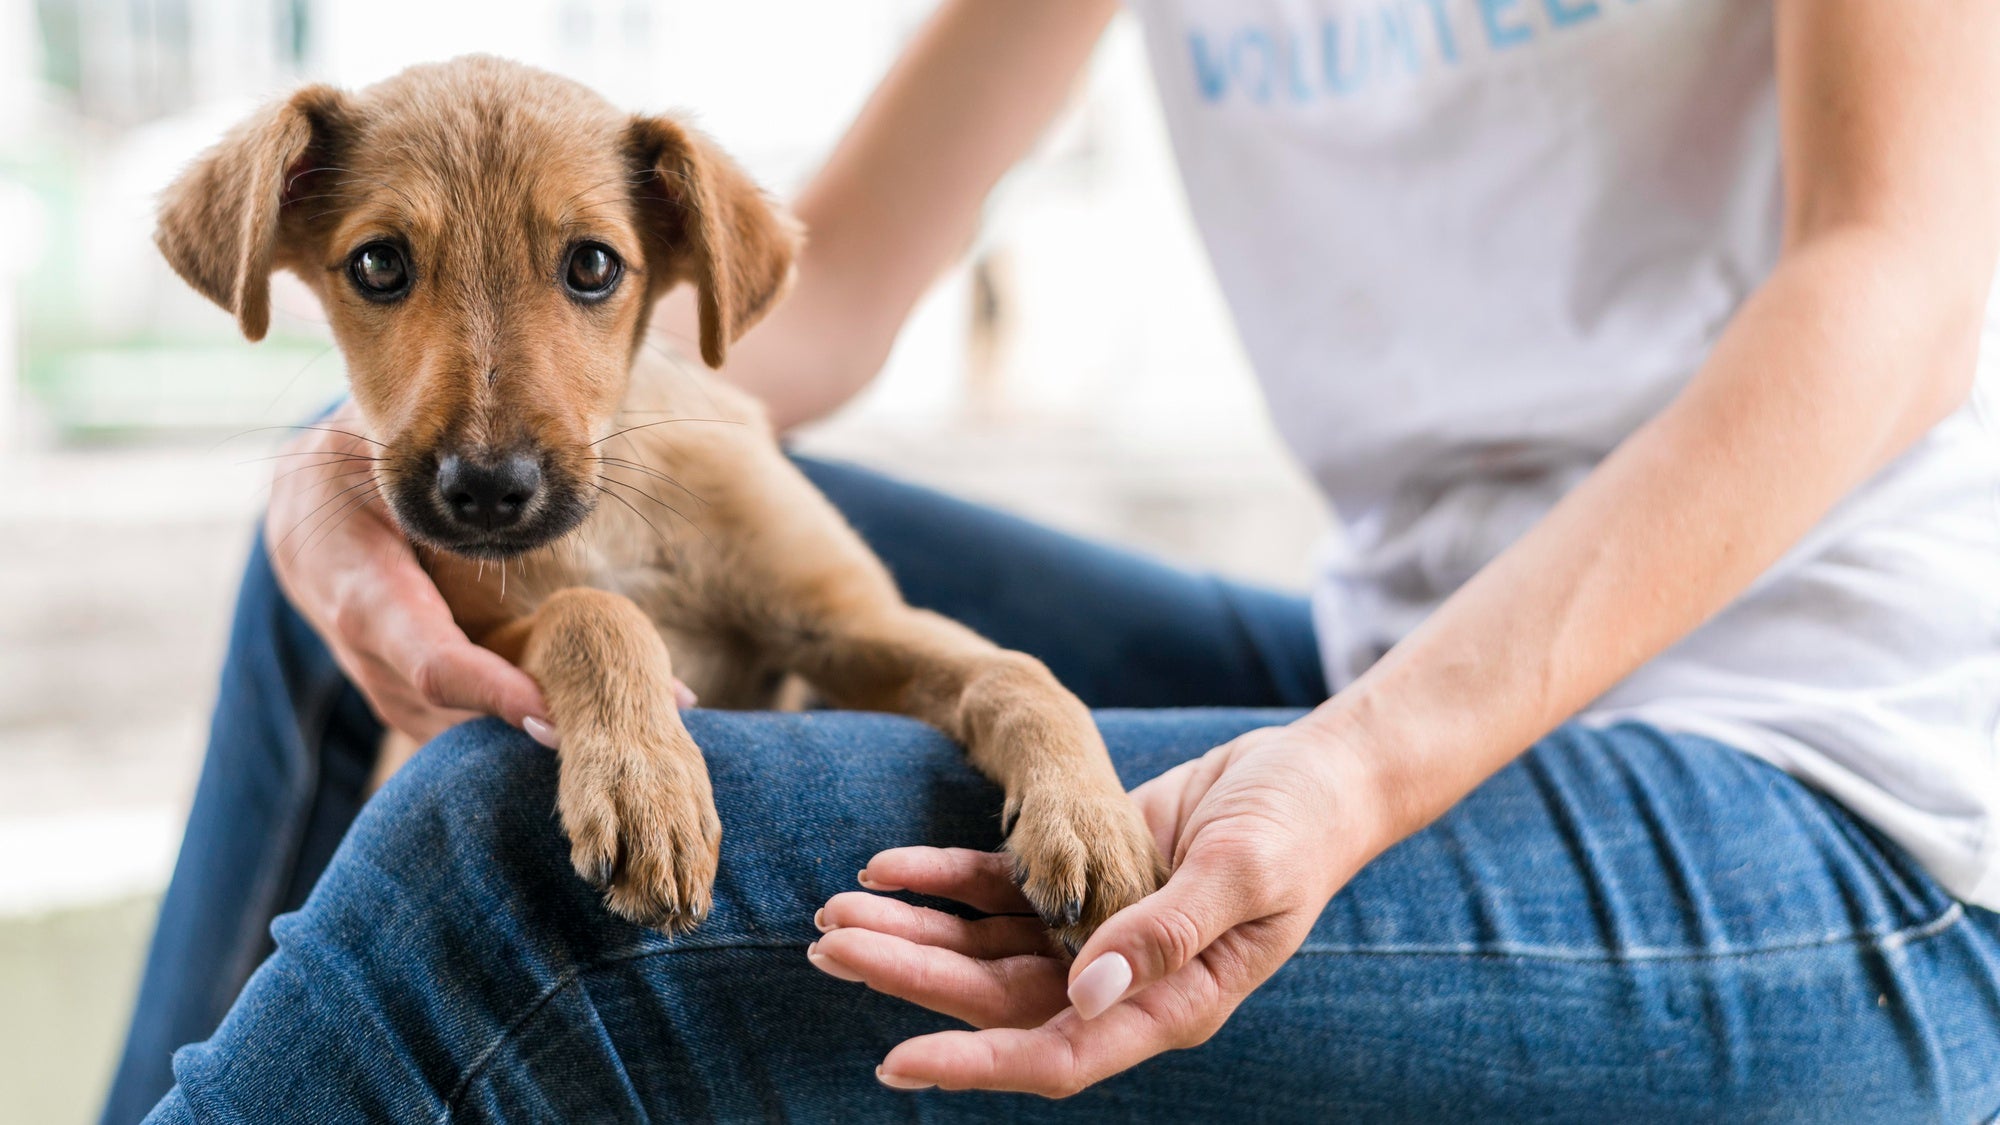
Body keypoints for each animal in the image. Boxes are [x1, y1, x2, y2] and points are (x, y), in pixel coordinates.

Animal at [156, 54, 1168, 944]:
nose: (485, 490)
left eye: (594, 266)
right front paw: (647, 787)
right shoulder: (476, 641)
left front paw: (1092, 817)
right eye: (376, 266)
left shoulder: (848, 624)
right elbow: (591, 611)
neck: (617, 518)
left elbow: (1017, 672)